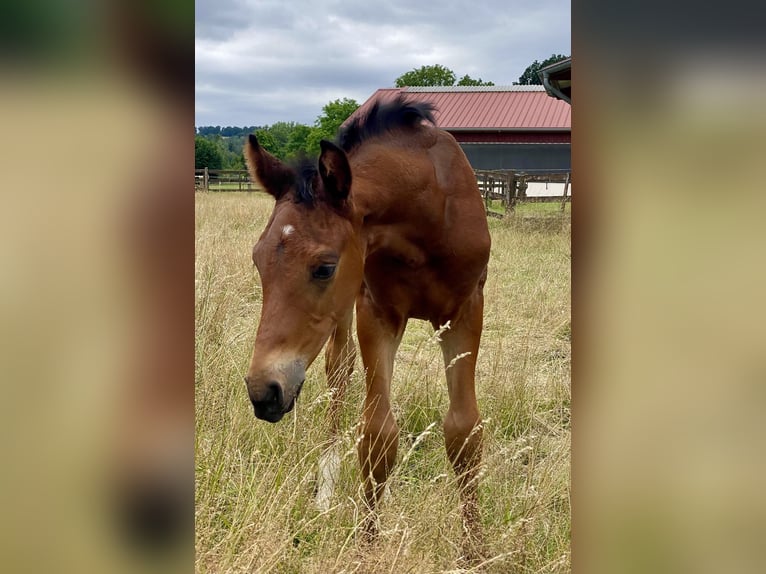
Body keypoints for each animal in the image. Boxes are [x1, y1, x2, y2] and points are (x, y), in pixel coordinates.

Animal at [243, 97, 492, 560]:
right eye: (258, 260)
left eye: (325, 267)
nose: (263, 392)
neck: (428, 210)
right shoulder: (376, 312)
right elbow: (377, 436)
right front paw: (367, 543)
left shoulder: (466, 312)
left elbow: (464, 432)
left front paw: (475, 551)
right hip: (343, 317)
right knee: (339, 373)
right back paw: (326, 485)